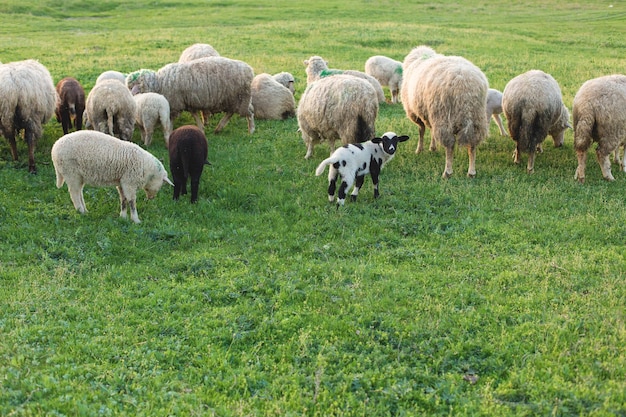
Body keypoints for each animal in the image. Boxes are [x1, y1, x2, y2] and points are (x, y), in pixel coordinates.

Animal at [124, 57, 254, 133]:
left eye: (131, 88)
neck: (160, 83)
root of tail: (249, 70)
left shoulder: (175, 104)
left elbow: (171, 121)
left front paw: (169, 131)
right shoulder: (188, 101)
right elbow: (195, 114)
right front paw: (201, 128)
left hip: (240, 97)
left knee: (249, 113)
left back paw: (251, 130)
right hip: (233, 99)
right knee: (231, 112)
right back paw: (219, 128)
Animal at [400, 48, 488, 178]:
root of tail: (465, 85)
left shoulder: (415, 113)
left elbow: (421, 131)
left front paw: (419, 150)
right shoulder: (430, 114)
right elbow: (431, 131)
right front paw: (432, 147)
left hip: (443, 117)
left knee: (450, 145)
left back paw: (447, 172)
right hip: (476, 118)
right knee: (472, 145)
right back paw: (471, 172)